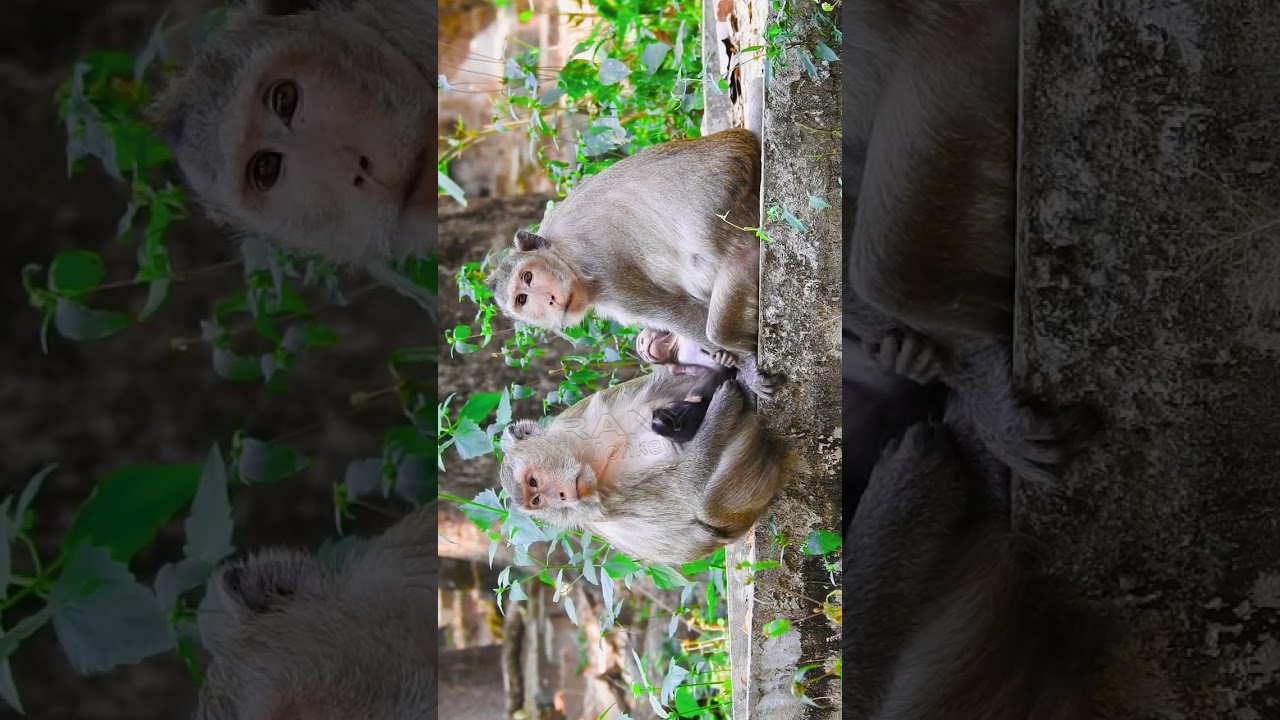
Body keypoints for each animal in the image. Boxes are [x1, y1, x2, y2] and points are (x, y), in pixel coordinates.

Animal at [484, 128, 765, 366]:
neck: (563, 256)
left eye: (527, 277)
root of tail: (742, 145)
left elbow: (673, 311)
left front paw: (743, 364)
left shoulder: (606, 272)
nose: (550, 299)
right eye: (522, 299)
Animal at [497, 370, 782, 565]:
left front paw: (745, 375)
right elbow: (686, 488)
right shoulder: (603, 508)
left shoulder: (591, 411)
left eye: (532, 482)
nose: (561, 497)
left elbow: (670, 383)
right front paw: (722, 406)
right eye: (537, 500)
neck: (593, 463)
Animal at [635, 326, 784, 399]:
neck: (676, 348)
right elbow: (708, 371)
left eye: (641, 341)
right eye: (642, 353)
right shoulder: (677, 363)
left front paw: (724, 358)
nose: (643, 352)